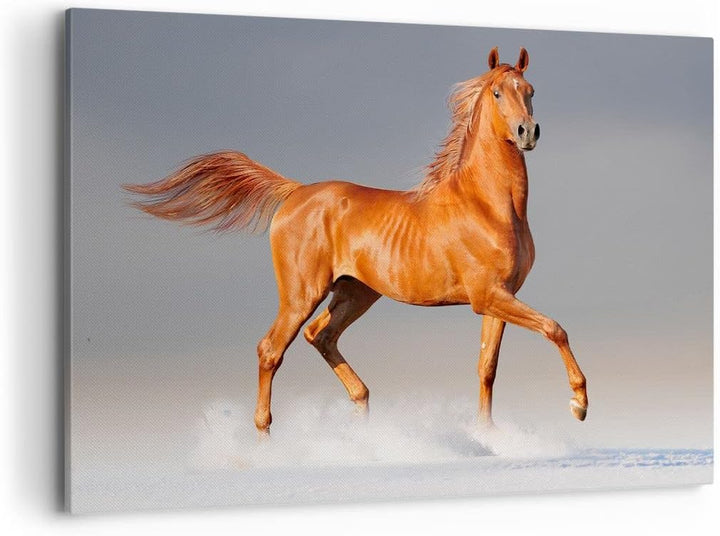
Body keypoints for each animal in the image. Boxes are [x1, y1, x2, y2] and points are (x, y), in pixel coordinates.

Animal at [125, 47, 588, 436]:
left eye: (530, 90)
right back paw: (265, 437)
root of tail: (295, 193)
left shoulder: (500, 296)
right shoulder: (487, 295)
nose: (528, 131)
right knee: (271, 349)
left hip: (355, 292)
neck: (488, 205)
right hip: (302, 293)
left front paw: (487, 434)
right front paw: (579, 403)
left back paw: (362, 413)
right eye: (496, 92)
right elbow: (555, 328)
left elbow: (487, 367)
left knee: (321, 336)